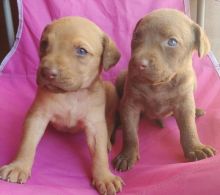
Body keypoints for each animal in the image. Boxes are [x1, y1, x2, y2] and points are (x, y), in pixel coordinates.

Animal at [0, 16, 124, 195]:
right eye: (44, 44)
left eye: (81, 51)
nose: (46, 73)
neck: (71, 94)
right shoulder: (37, 117)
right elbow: (27, 143)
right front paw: (19, 166)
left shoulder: (95, 125)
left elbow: (99, 154)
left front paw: (105, 177)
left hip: (111, 92)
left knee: (110, 123)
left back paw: (107, 141)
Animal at [113, 8, 217, 171]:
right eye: (136, 36)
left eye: (172, 42)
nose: (137, 63)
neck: (159, 85)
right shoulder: (130, 105)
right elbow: (129, 133)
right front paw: (127, 155)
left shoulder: (184, 103)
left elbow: (189, 127)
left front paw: (195, 148)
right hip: (121, 78)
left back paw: (197, 111)